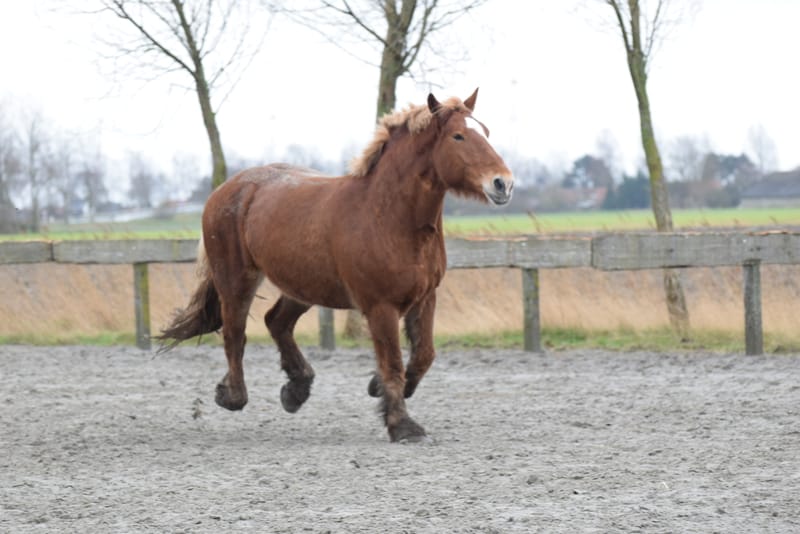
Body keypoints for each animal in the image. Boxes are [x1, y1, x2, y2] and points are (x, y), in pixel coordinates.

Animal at [157, 89, 514, 442]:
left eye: (485, 132)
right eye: (458, 136)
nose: (503, 184)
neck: (388, 217)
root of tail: (229, 189)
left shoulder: (425, 298)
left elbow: (424, 355)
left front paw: (377, 388)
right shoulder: (380, 307)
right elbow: (393, 363)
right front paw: (401, 425)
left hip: (302, 285)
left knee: (276, 322)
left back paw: (296, 389)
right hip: (236, 278)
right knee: (235, 333)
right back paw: (232, 395)